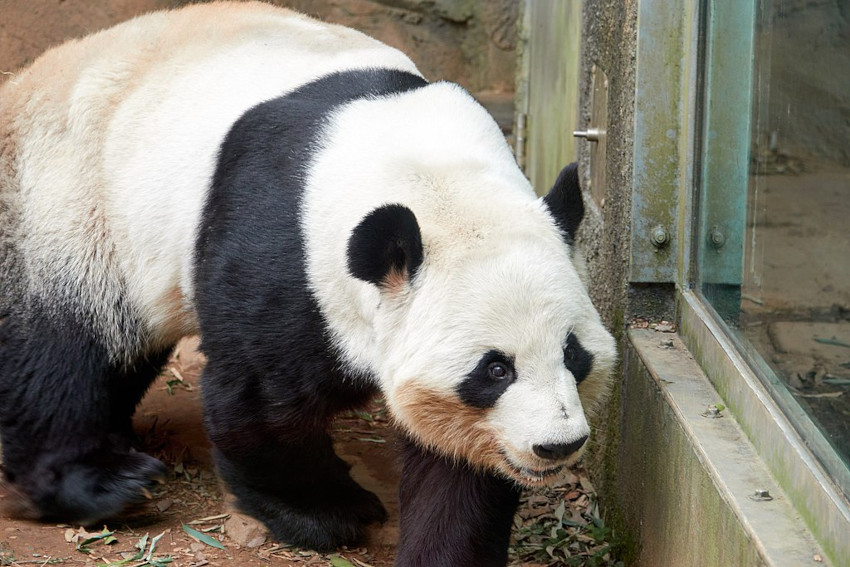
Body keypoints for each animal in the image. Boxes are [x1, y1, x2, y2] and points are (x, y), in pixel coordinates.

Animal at [0, 2, 612, 564]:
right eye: (494, 369)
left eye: (572, 353)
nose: (558, 445)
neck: (432, 176)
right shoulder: (279, 249)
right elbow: (259, 400)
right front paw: (328, 514)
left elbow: (459, 460)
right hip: (70, 209)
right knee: (61, 361)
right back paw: (106, 482)